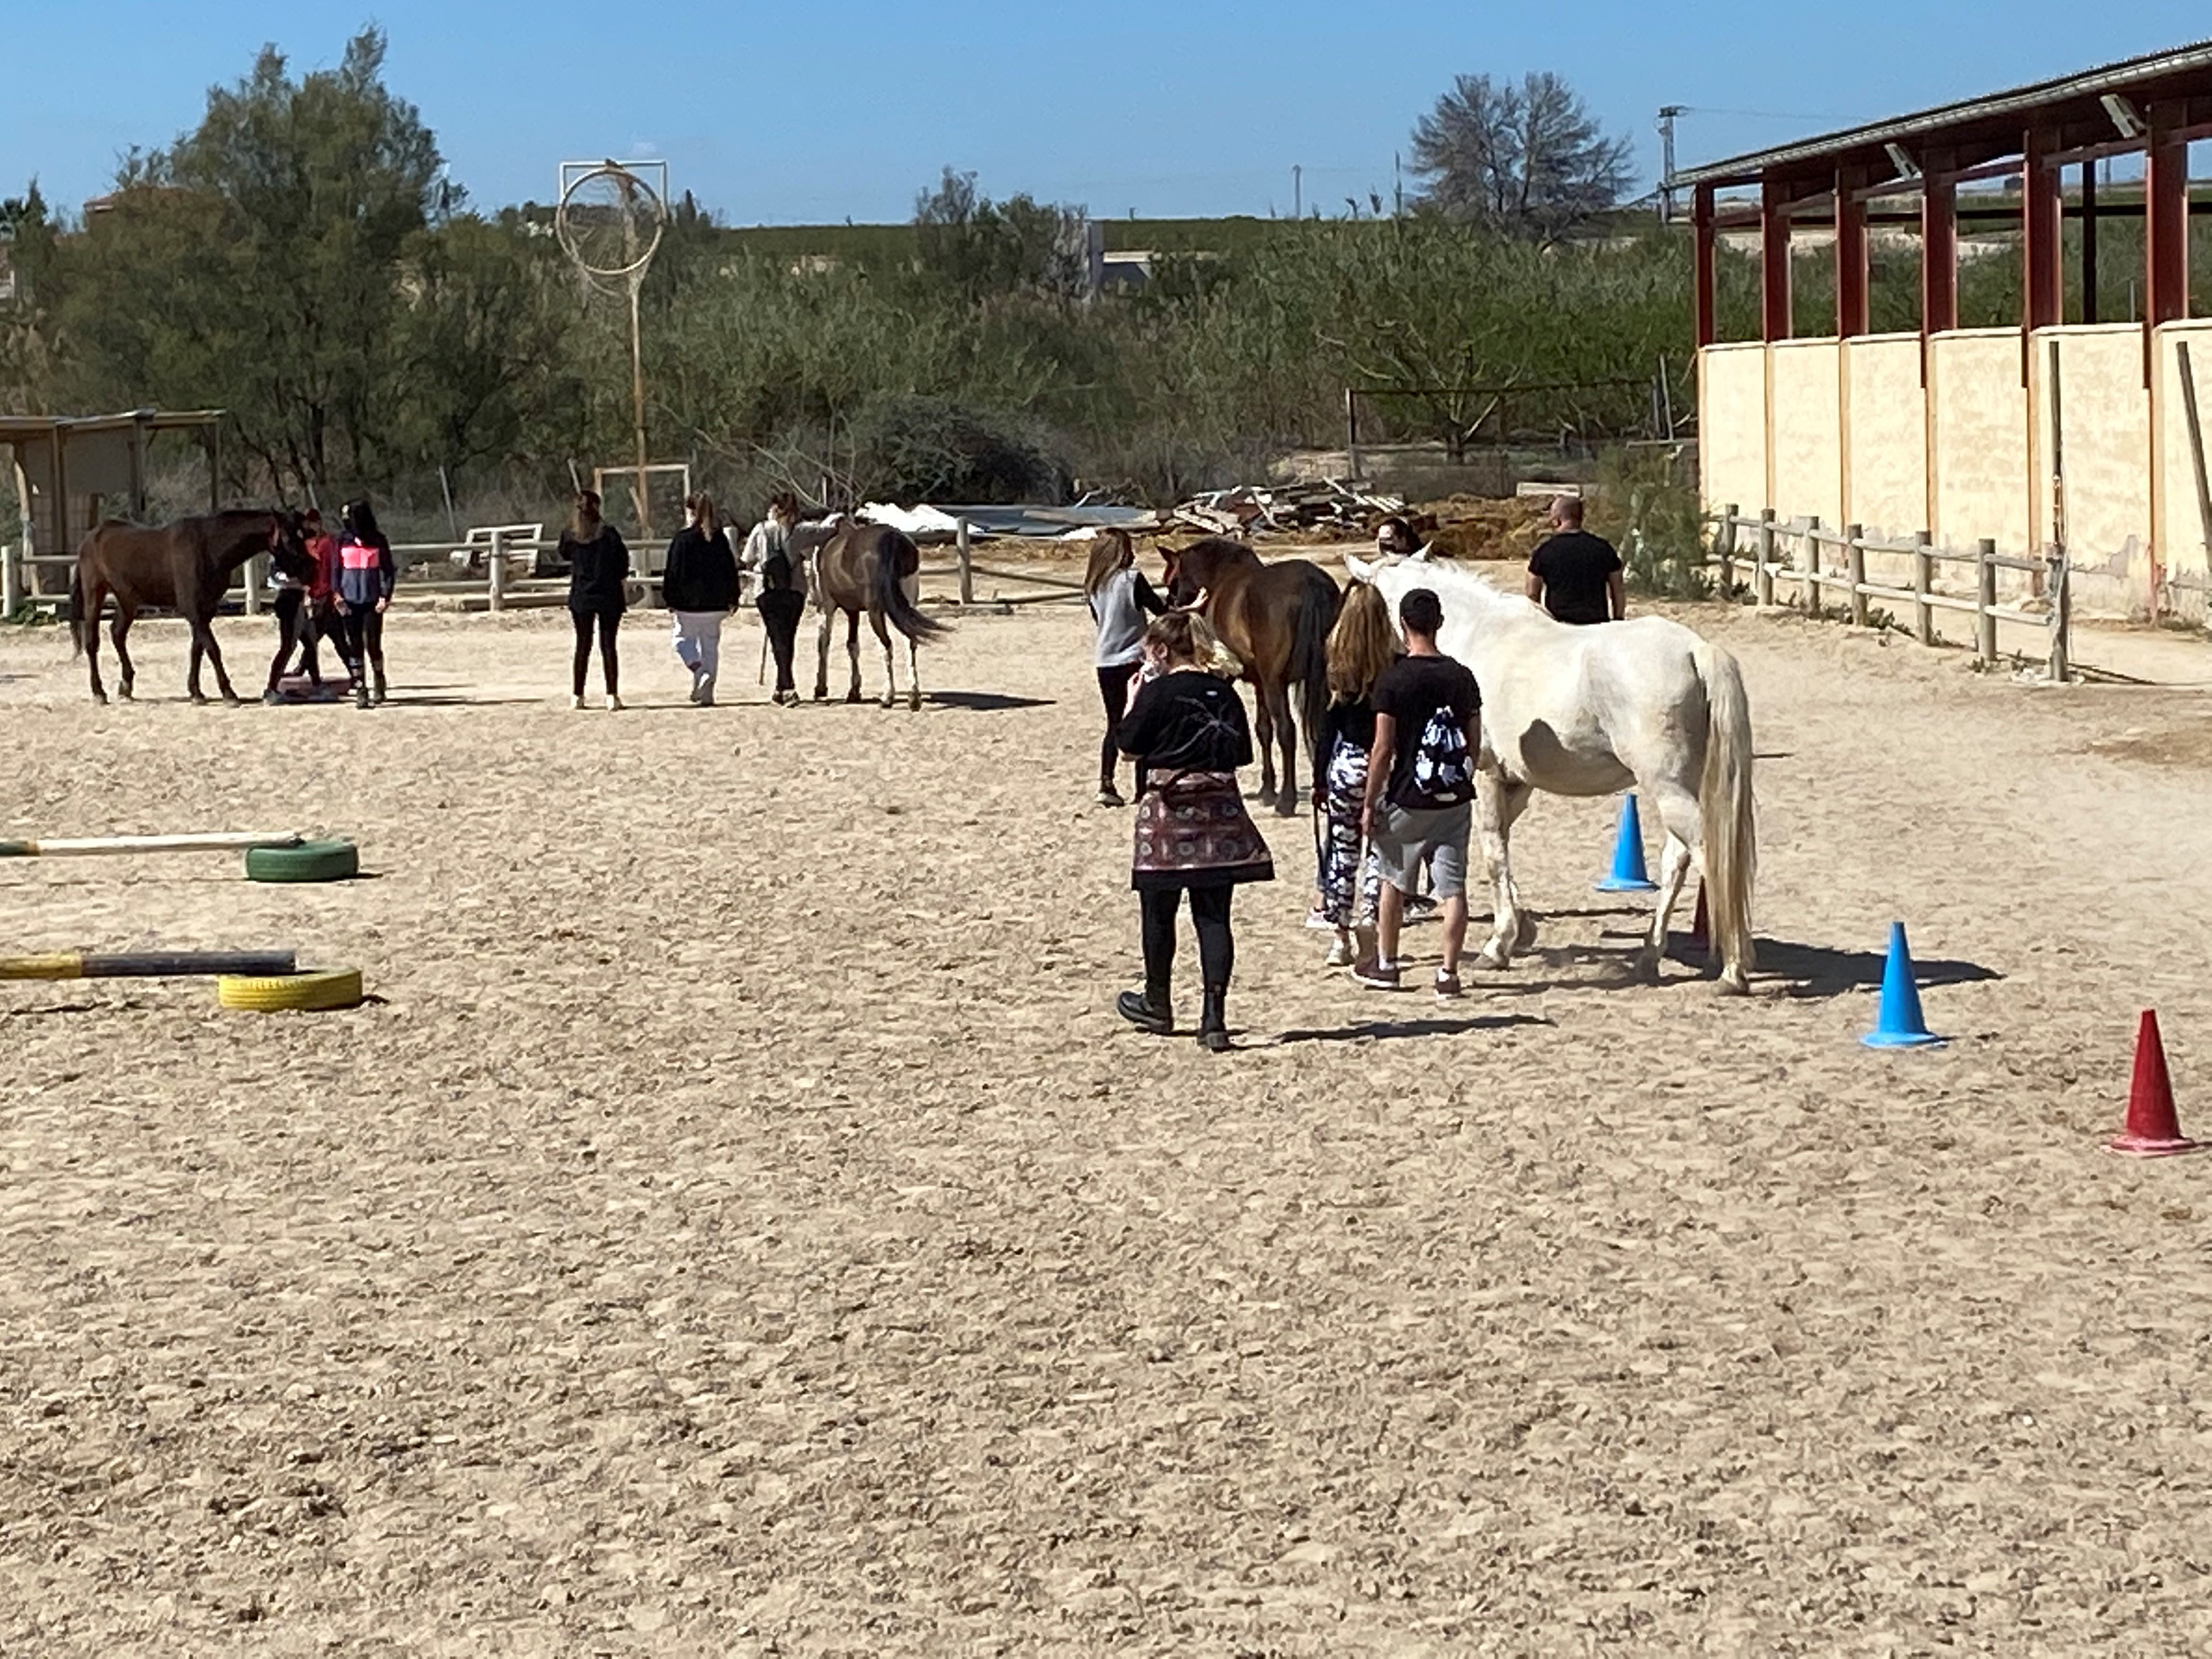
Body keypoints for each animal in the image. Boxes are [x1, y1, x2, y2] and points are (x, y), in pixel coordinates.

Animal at [74, 513, 314, 708]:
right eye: (289, 538)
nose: (309, 567)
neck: (209, 548)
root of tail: (92, 536)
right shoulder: (194, 611)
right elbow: (213, 649)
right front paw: (229, 694)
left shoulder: (205, 611)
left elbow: (197, 649)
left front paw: (197, 693)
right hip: (95, 595)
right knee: (92, 643)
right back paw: (99, 693)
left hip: (127, 601)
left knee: (117, 634)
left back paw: (125, 688)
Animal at [814, 522, 951, 712]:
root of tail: (892, 540)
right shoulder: (853, 611)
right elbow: (852, 646)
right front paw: (854, 691)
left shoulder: (827, 606)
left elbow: (824, 642)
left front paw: (821, 688)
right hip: (904, 606)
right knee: (910, 643)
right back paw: (913, 698)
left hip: (875, 612)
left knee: (886, 646)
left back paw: (888, 697)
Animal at [1167, 535, 1336, 814]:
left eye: (1173, 578)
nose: (1173, 606)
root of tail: (1311, 583)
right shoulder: (1259, 682)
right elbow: (1263, 729)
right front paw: (1267, 790)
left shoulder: (1231, 674)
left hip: (1275, 683)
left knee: (1287, 730)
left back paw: (1287, 800)